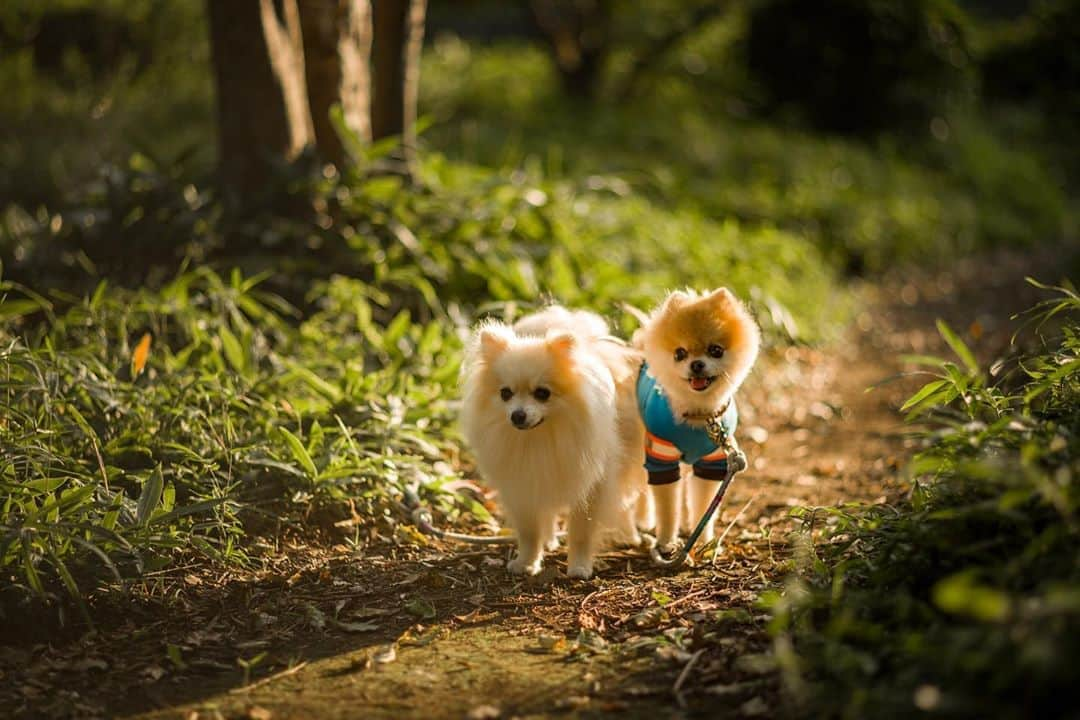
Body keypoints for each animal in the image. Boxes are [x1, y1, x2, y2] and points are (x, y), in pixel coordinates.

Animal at [460, 306, 643, 578]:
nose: (518, 415)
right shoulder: (524, 484)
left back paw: (629, 535)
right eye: (505, 393)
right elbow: (529, 532)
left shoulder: (592, 486)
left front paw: (579, 566)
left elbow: (581, 532)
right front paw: (526, 562)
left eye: (542, 393)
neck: (540, 438)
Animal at [630, 289, 760, 548]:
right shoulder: (662, 456)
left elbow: (703, 504)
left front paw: (702, 539)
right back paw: (644, 520)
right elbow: (668, 508)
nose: (697, 364)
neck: (700, 414)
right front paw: (667, 542)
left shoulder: (713, 461)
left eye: (716, 350)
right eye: (679, 353)